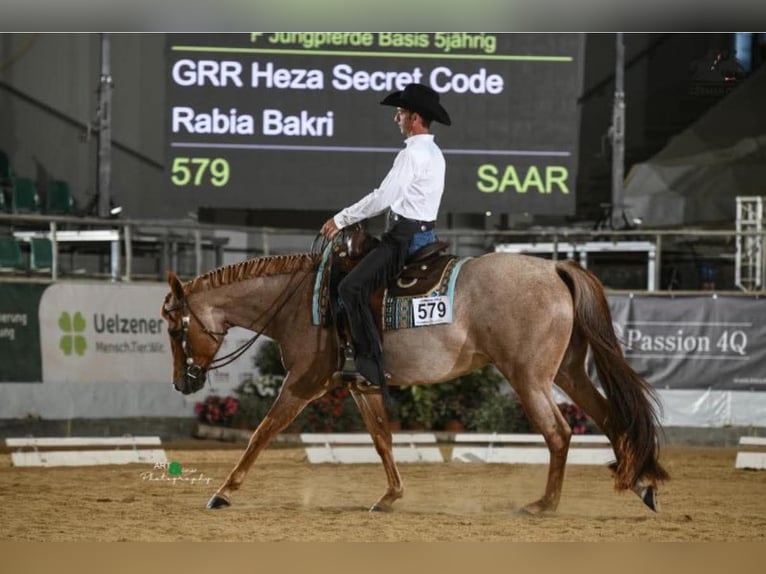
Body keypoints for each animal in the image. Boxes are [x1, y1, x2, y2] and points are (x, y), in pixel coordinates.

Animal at [161, 236, 669, 515]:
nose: (182, 382)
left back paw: (543, 505)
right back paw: (639, 483)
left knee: (559, 433)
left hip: (529, 378)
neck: (302, 300)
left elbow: (261, 433)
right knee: (610, 418)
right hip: (567, 373)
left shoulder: (302, 385)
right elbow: (383, 439)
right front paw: (390, 496)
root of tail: (554, 267)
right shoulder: (359, 386)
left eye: (175, 328)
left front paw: (223, 493)